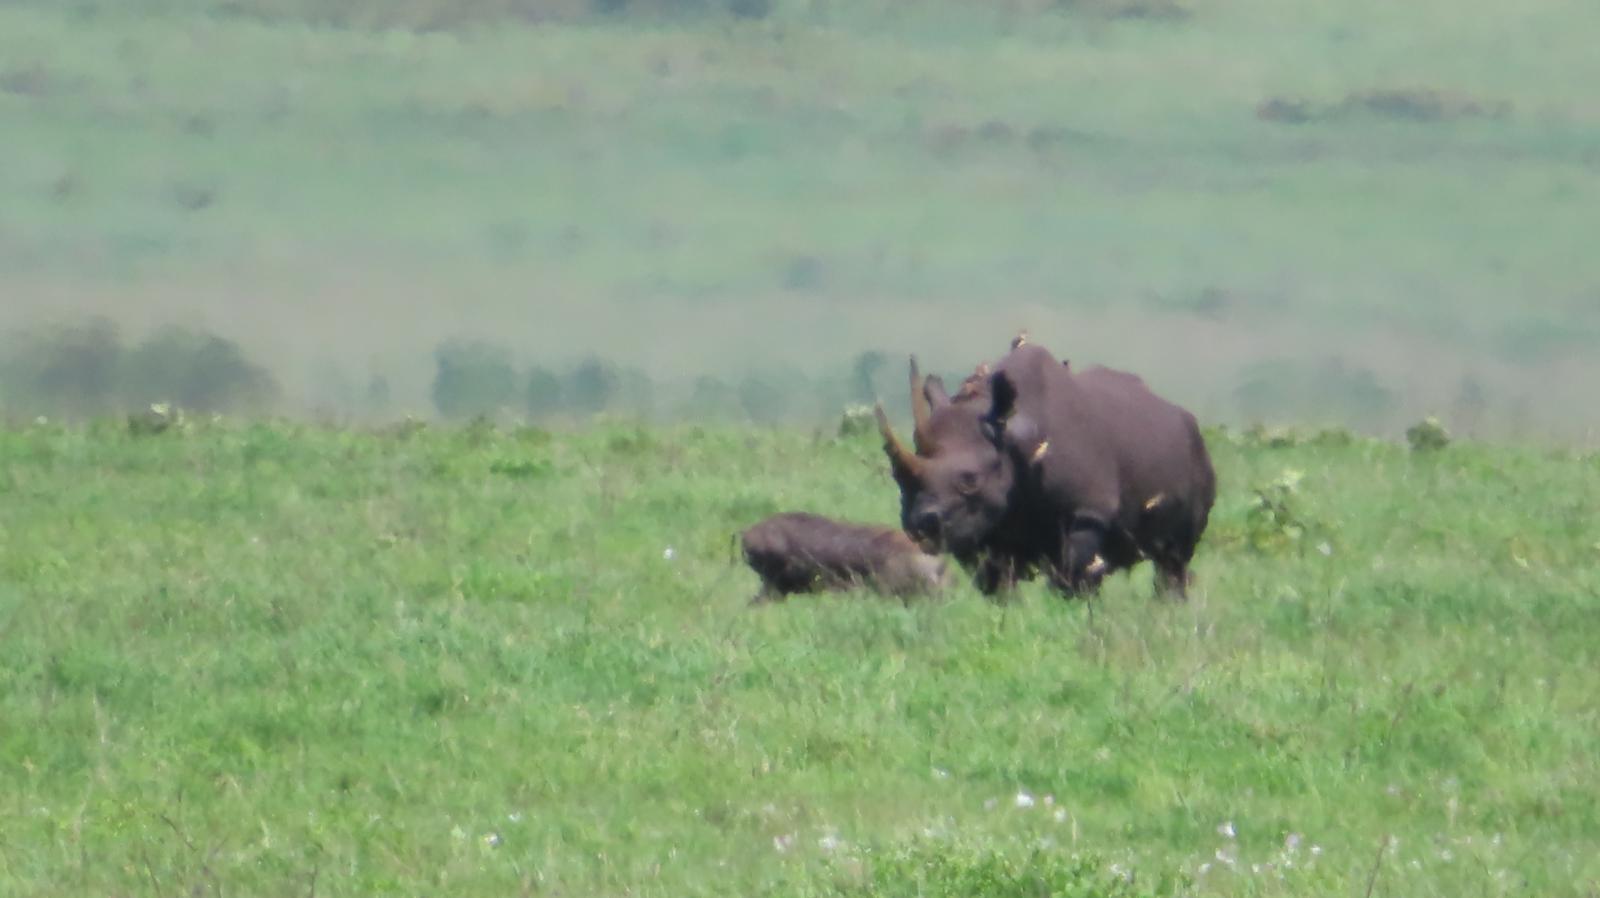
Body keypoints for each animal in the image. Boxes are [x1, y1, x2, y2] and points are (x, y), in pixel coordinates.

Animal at [874, 337, 1215, 600]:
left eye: (970, 481)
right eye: (896, 477)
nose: (919, 527)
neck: (1011, 431)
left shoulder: (1086, 512)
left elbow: (1071, 576)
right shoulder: (974, 524)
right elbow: (995, 582)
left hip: (1197, 453)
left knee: (1173, 560)